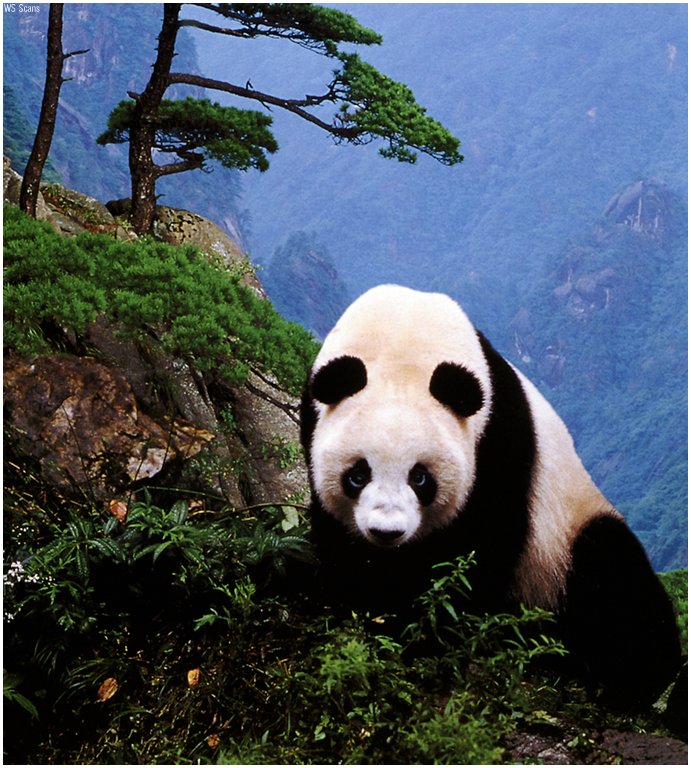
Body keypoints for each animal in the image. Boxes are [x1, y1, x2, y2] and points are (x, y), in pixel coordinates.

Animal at [300, 284, 682, 708]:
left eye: (420, 478)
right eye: (358, 474)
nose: (387, 532)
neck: (404, 332)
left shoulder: (499, 445)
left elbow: (480, 549)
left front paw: (425, 628)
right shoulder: (313, 417)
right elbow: (338, 539)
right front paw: (360, 601)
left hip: (564, 541)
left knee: (613, 579)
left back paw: (625, 676)